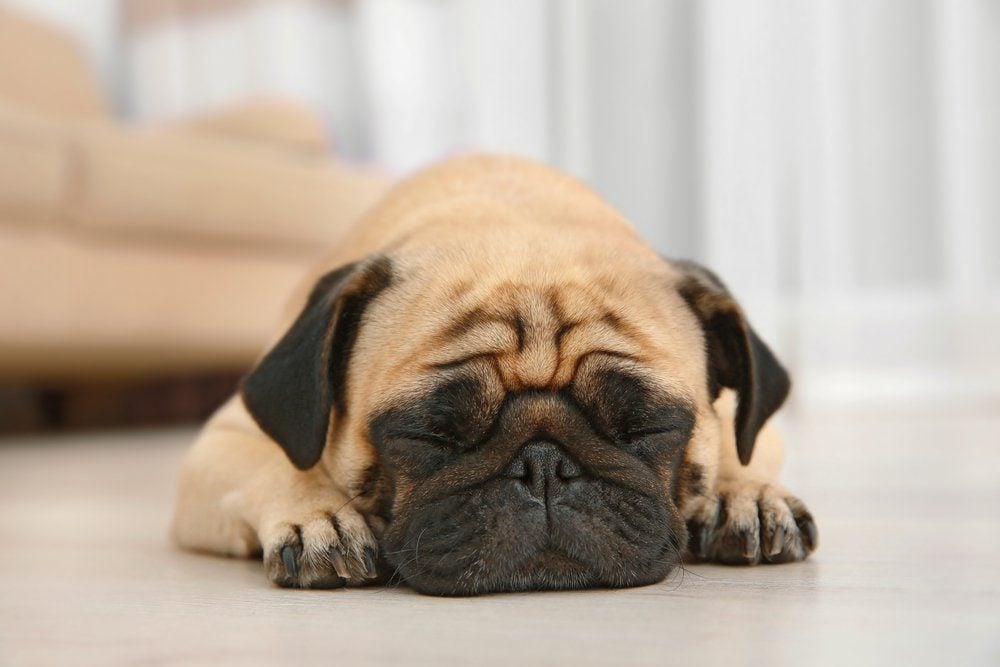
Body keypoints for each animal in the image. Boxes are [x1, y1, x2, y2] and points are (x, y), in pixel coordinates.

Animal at [170, 155, 812, 596]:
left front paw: (744, 493)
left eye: (648, 428)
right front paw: (320, 515)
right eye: (426, 434)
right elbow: (278, 465)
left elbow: (741, 448)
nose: (544, 466)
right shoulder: (222, 441)